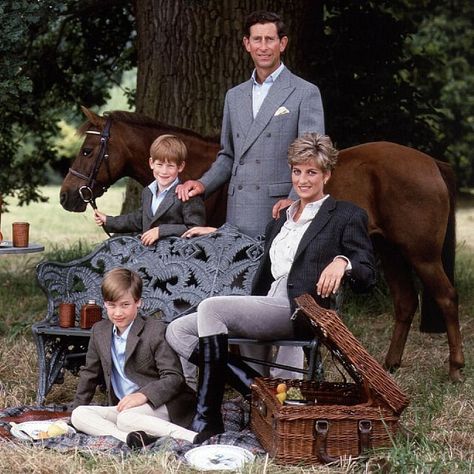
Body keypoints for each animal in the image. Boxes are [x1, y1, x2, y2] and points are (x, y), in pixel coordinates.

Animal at [59, 108, 462, 382]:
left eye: (88, 150)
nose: (67, 196)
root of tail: (432, 163)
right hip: (390, 252)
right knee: (406, 302)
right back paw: (390, 365)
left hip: (422, 255)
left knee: (445, 298)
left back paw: (455, 369)